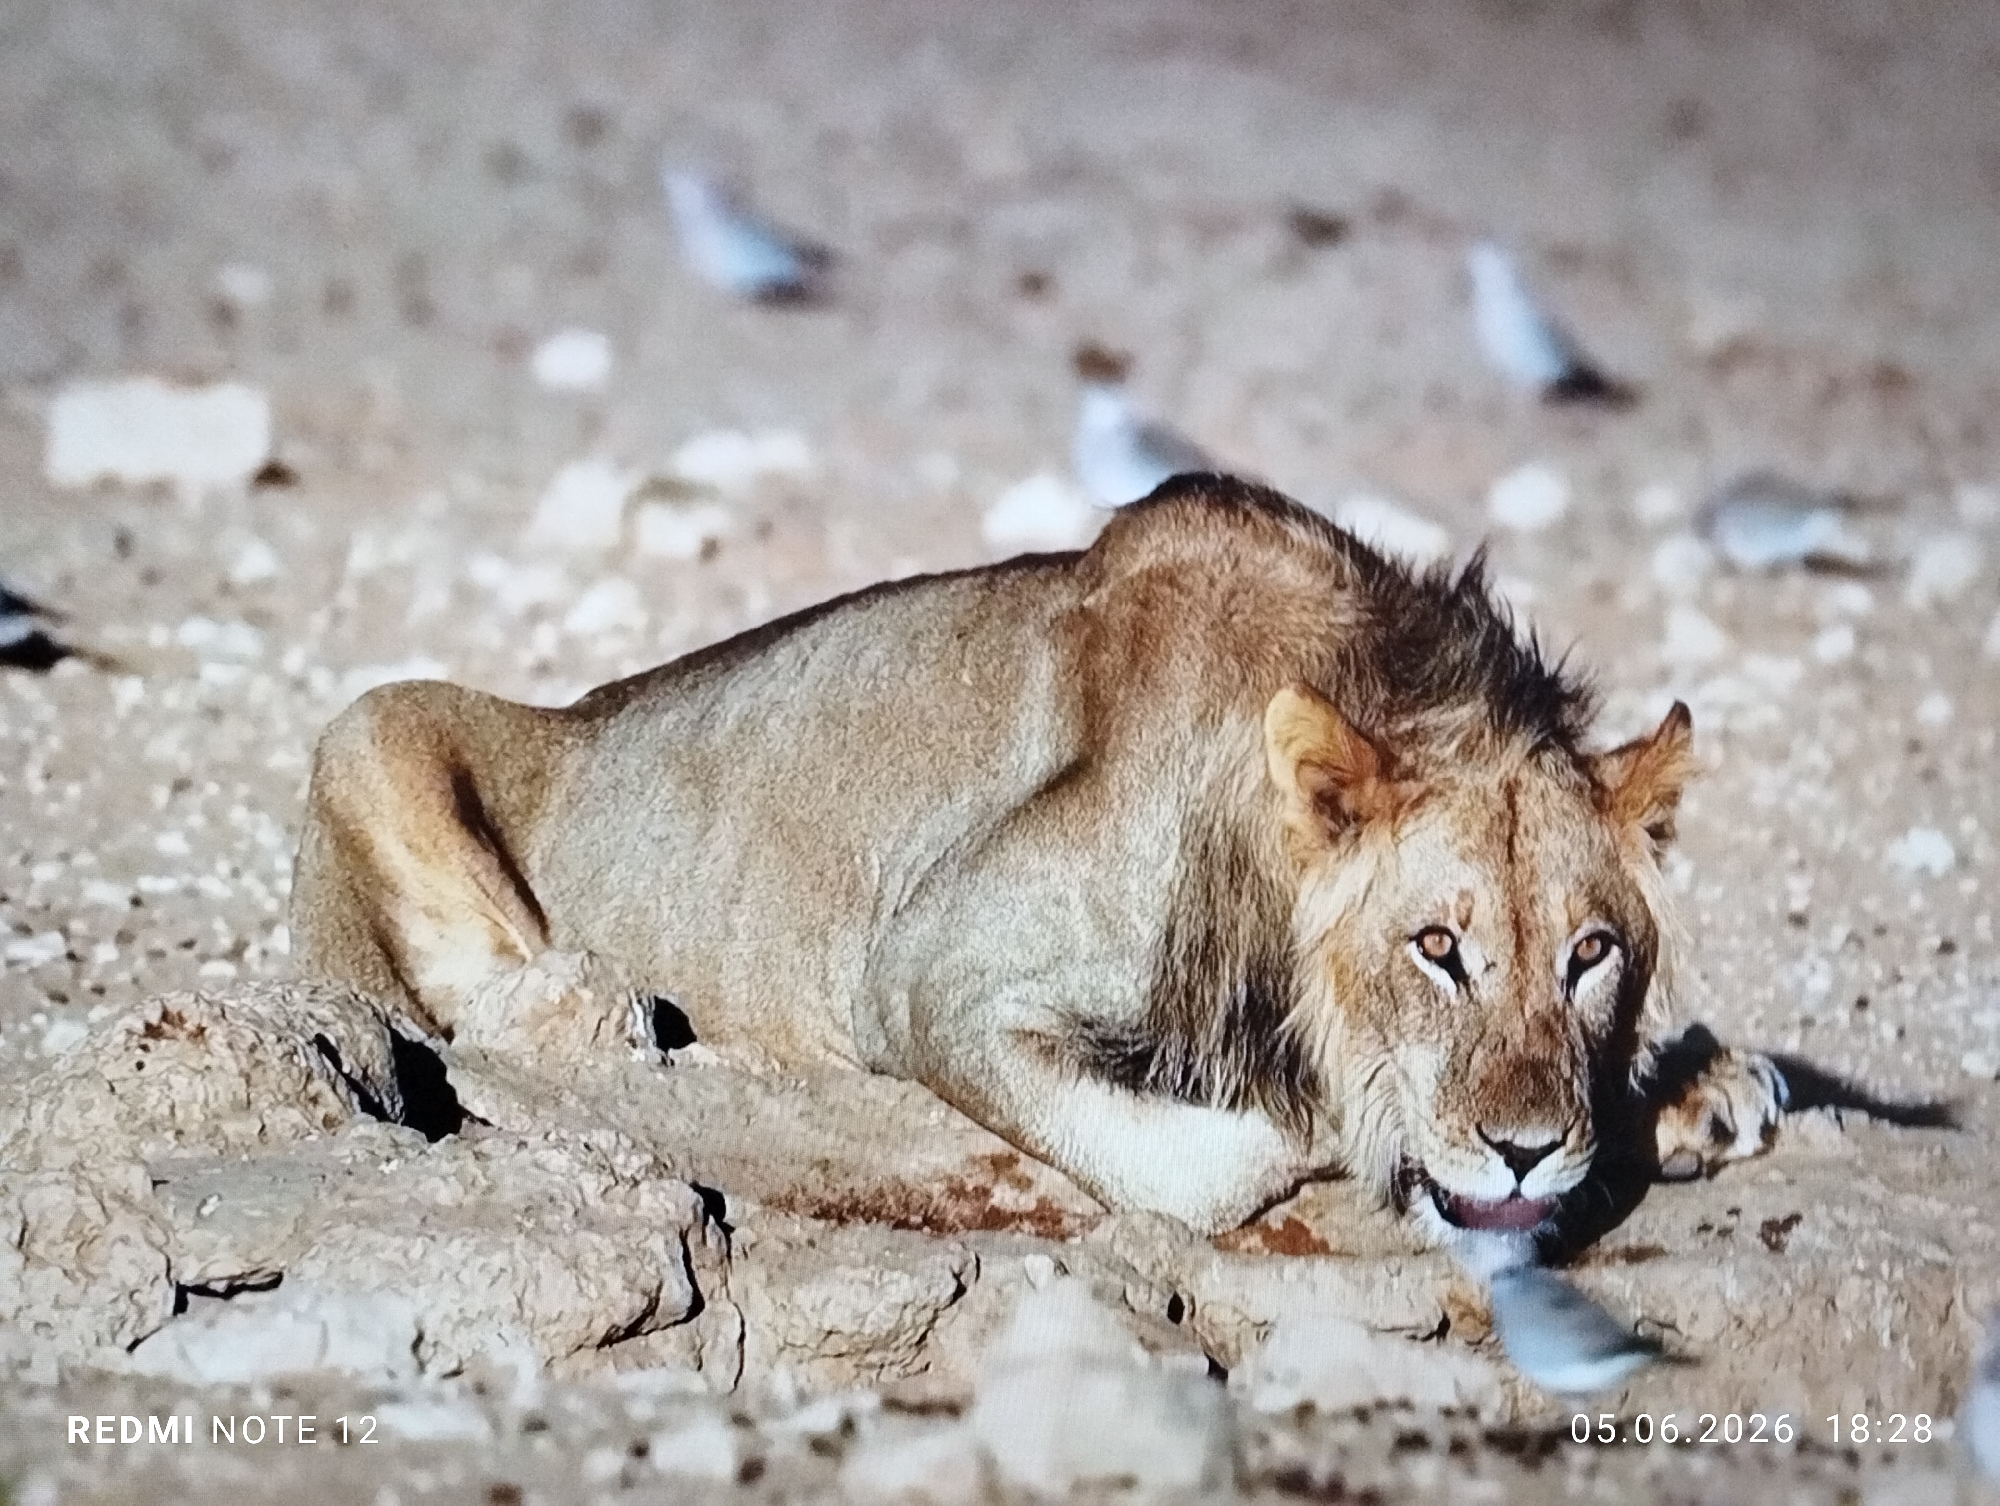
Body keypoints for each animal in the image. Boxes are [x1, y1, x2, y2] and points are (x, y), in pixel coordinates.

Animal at [290, 477, 1784, 1264]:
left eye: (1589, 954)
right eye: (1436, 947)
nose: (1527, 1149)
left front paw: (1698, 1091)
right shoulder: (929, 974)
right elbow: (1214, 1163)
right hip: (369, 721)